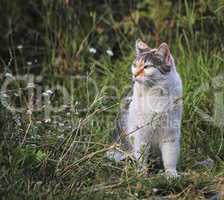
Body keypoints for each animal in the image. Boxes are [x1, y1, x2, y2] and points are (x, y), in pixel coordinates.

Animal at [107, 38, 183, 177]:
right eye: (135, 65)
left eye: (147, 66)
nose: (135, 74)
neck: (155, 93)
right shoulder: (141, 135)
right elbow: (141, 156)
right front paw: (142, 173)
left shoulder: (170, 135)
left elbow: (170, 157)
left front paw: (171, 174)